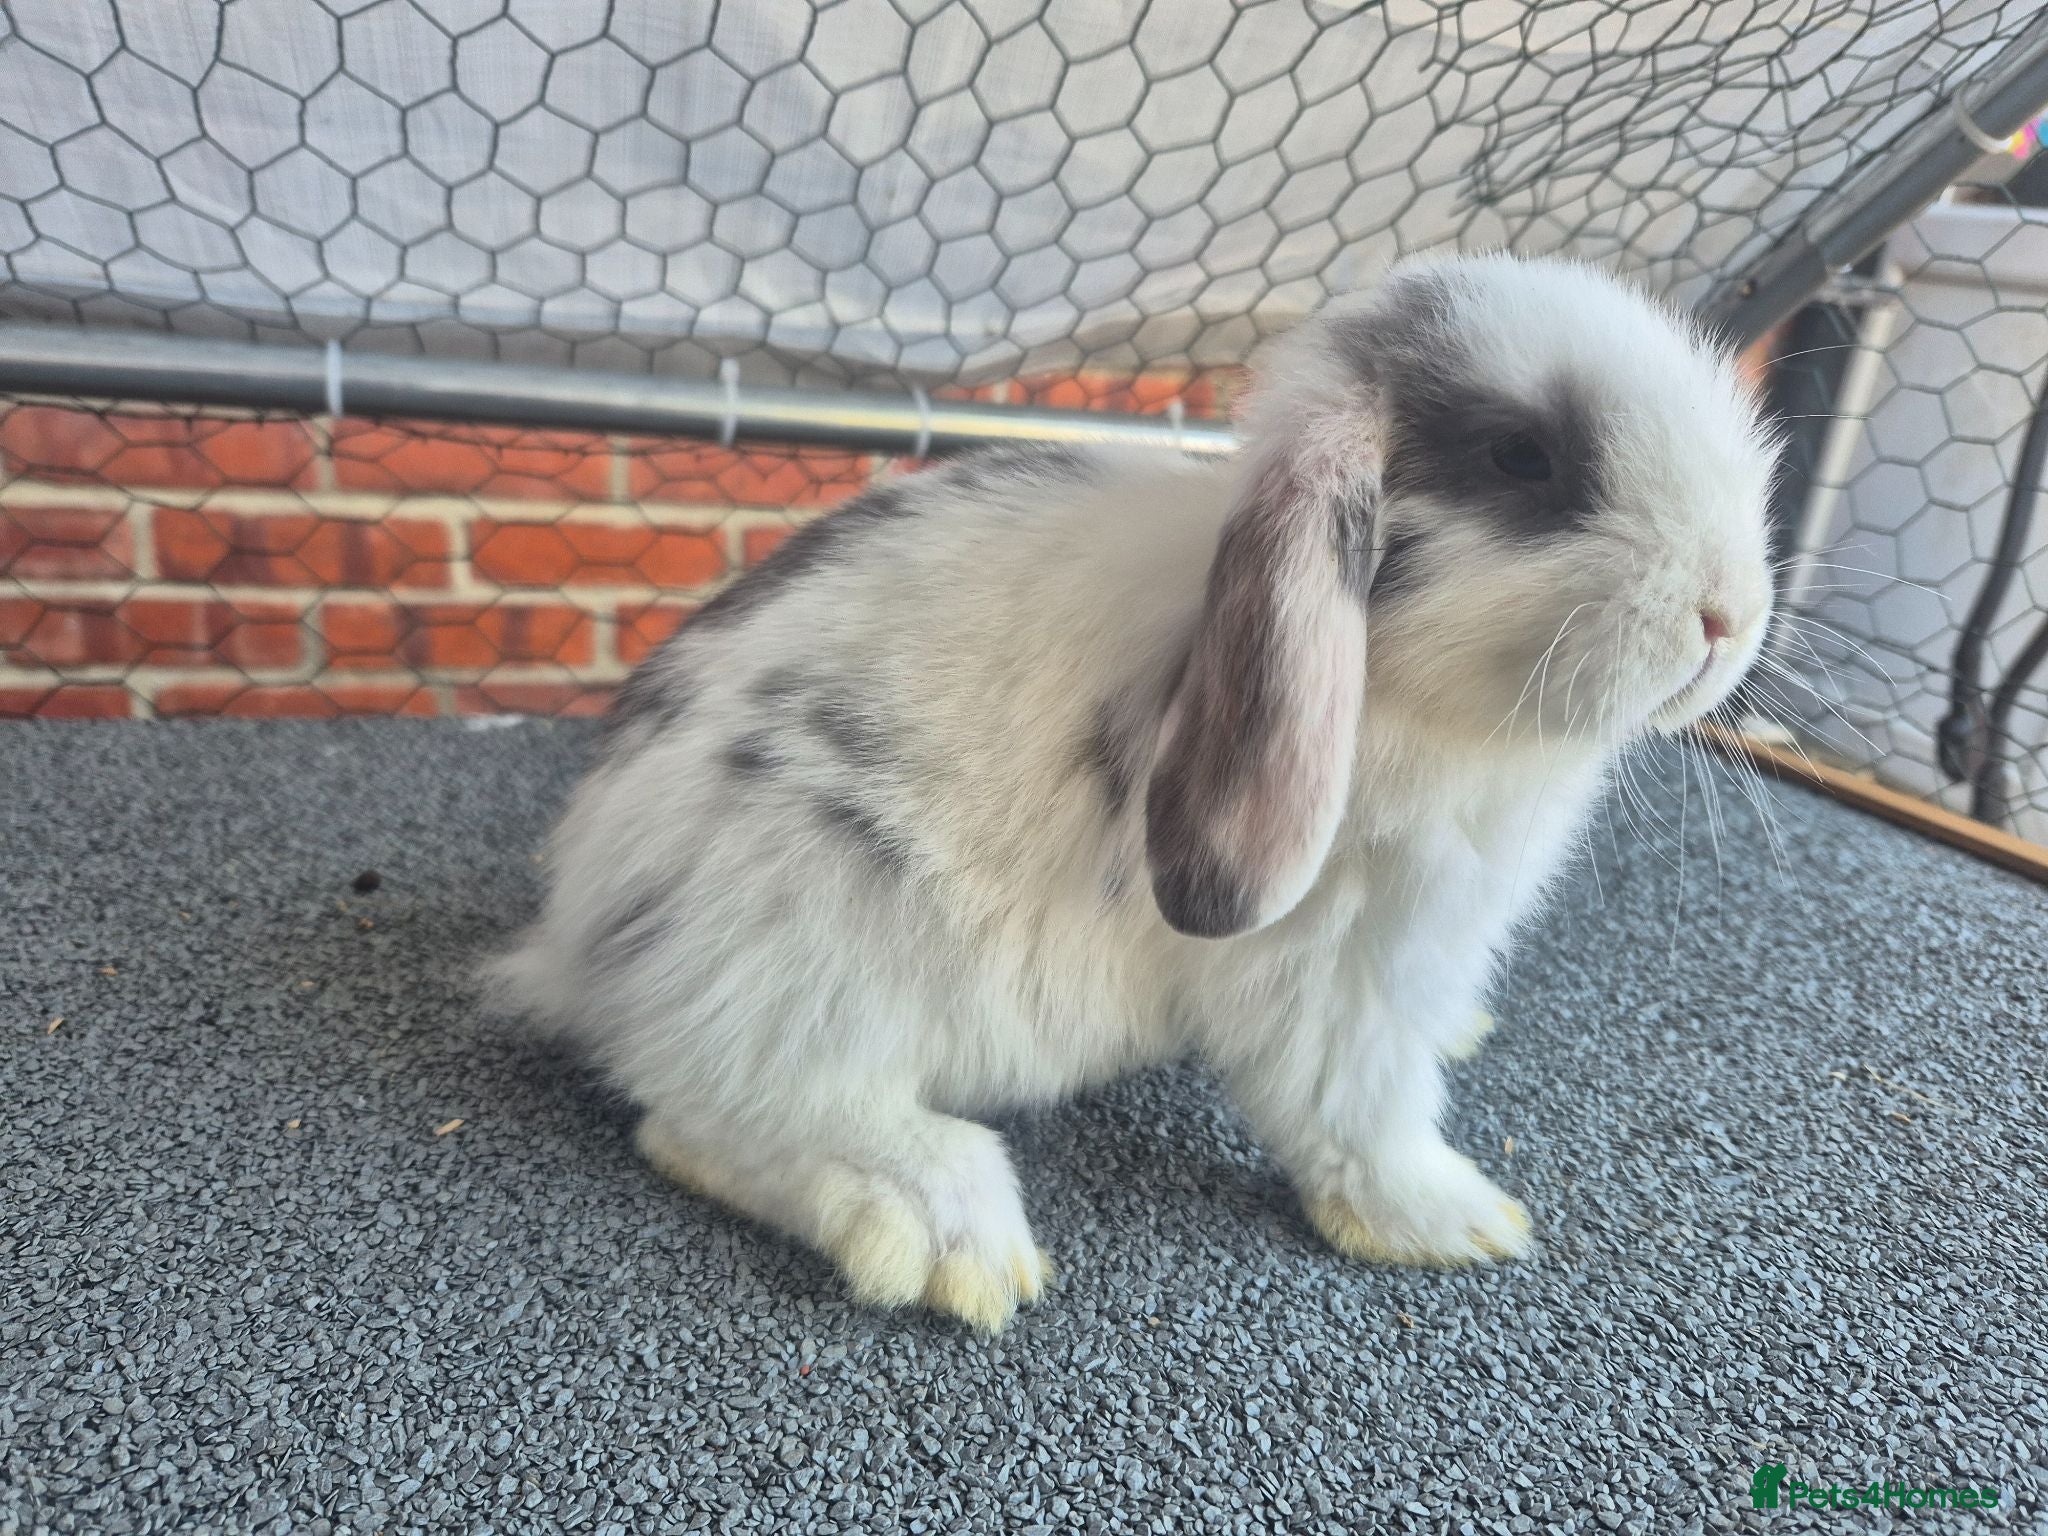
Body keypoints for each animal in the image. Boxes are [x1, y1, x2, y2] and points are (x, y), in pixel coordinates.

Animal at [487, 251, 1779, 1333]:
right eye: (1521, 455)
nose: (1730, 612)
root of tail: (577, 936)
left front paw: (1462, 1044)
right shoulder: (1337, 963)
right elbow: (1359, 1111)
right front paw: (1451, 1220)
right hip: (822, 918)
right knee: (708, 1105)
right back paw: (943, 1233)